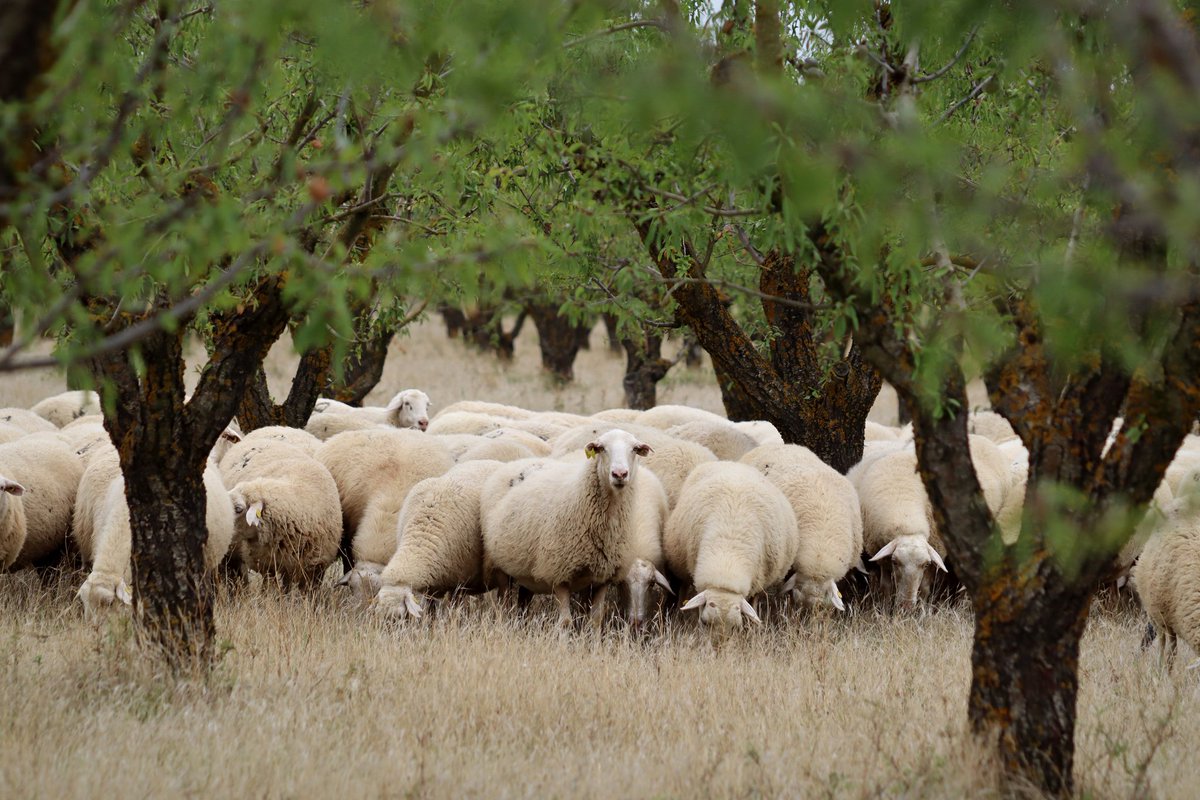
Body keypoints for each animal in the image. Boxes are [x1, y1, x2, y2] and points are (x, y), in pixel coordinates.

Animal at [481, 428, 652, 629]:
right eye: (601, 448)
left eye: (634, 449)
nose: (619, 474)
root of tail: (515, 463)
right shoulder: (558, 573)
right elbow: (565, 622)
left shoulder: (603, 576)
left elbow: (596, 619)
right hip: (498, 565)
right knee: (503, 603)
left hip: (525, 568)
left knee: (523, 600)